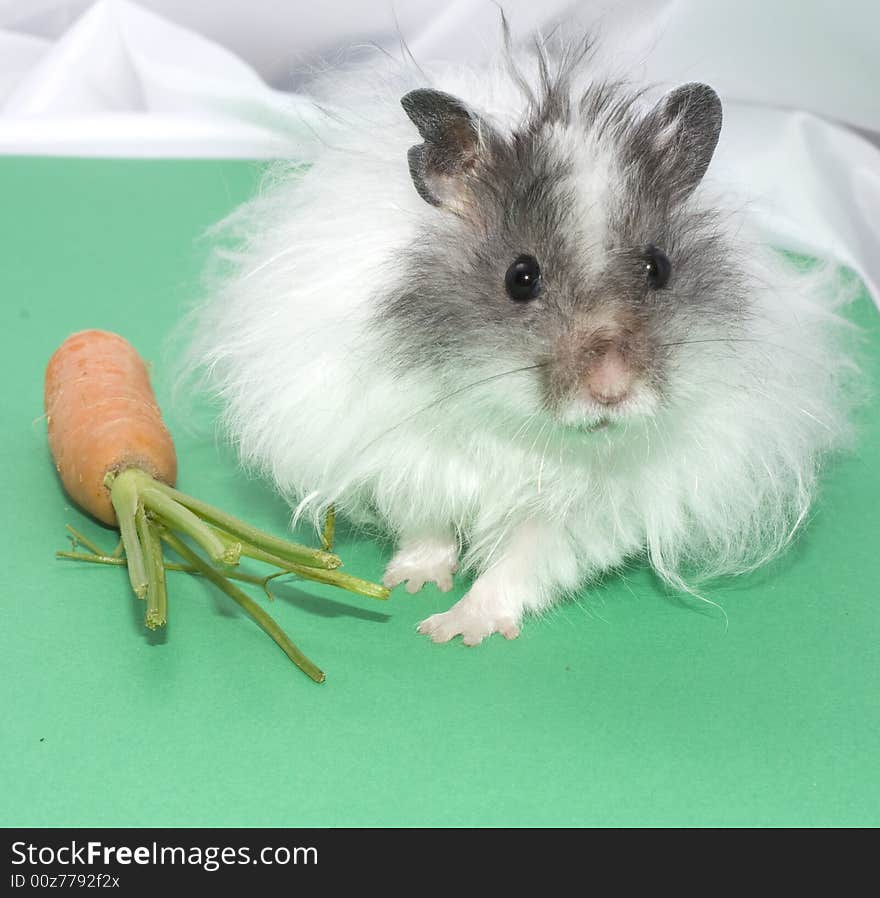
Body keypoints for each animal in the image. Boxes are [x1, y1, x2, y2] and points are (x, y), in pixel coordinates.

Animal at [186, 29, 852, 644]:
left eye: (658, 267)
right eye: (520, 276)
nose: (612, 391)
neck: (513, 422)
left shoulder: (586, 509)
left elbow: (518, 566)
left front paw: (453, 628)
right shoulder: (405, 451)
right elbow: (426, 525)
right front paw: (412, 584)